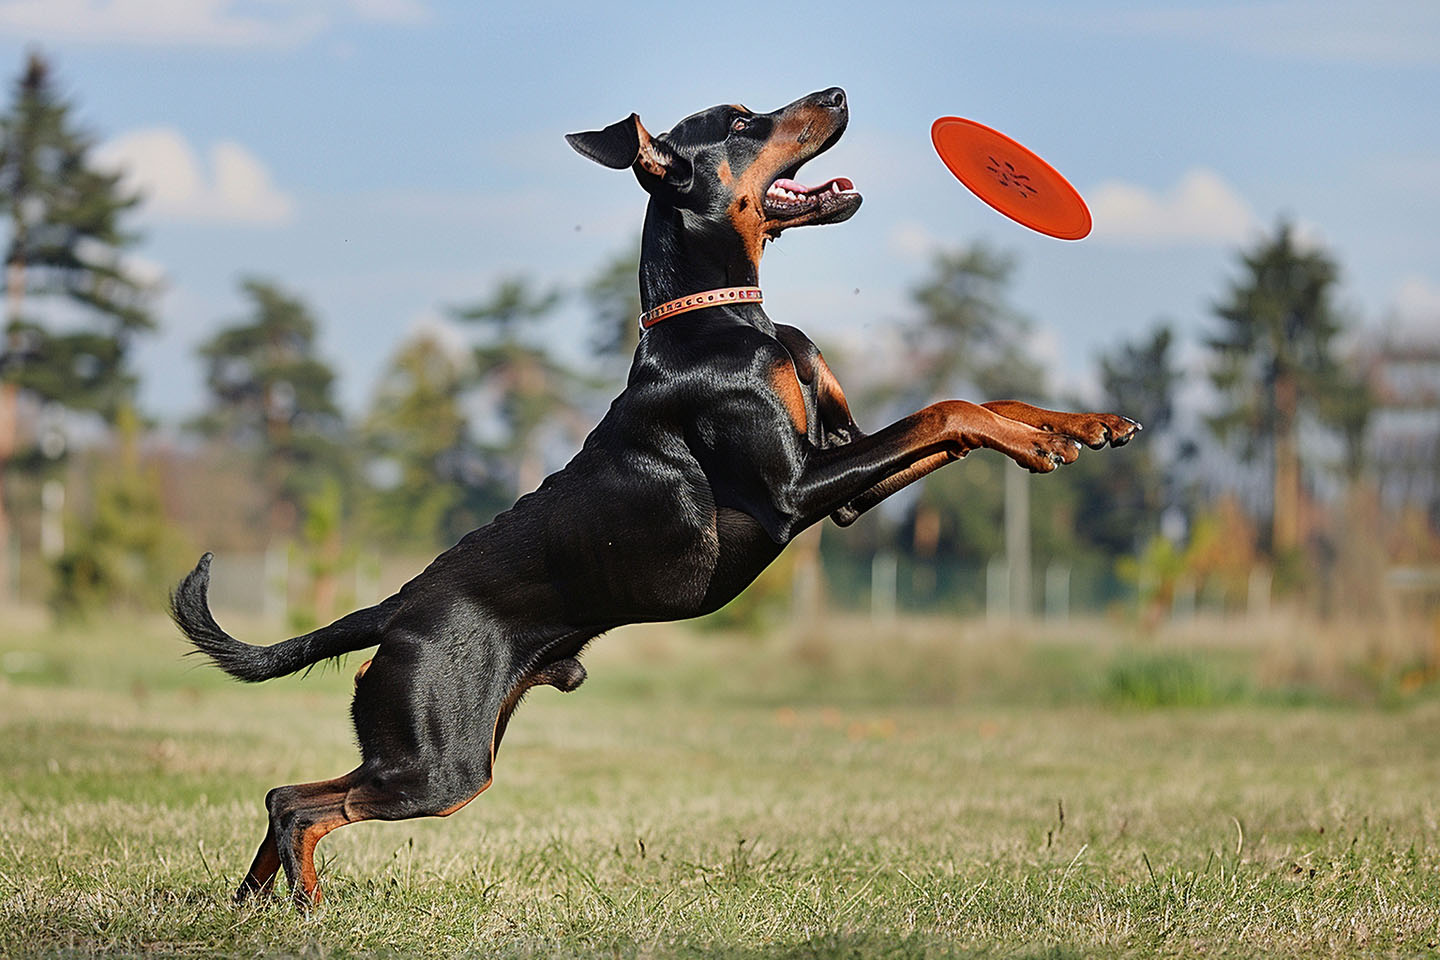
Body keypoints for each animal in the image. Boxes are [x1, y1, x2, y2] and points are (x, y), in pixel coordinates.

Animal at [171, 88, 1134, 909]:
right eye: (742, 122)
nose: (837, 94)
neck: (727, 318)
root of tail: (395, 607)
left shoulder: (843, 472)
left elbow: (973, 405)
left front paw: (1080, 425)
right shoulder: (798, 490)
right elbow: (946, 407)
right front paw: (1040, 443)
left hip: (431, 752)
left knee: (284, 798)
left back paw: (255, 906)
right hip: (441, 764)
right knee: (299, 804)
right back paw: (303, 906)